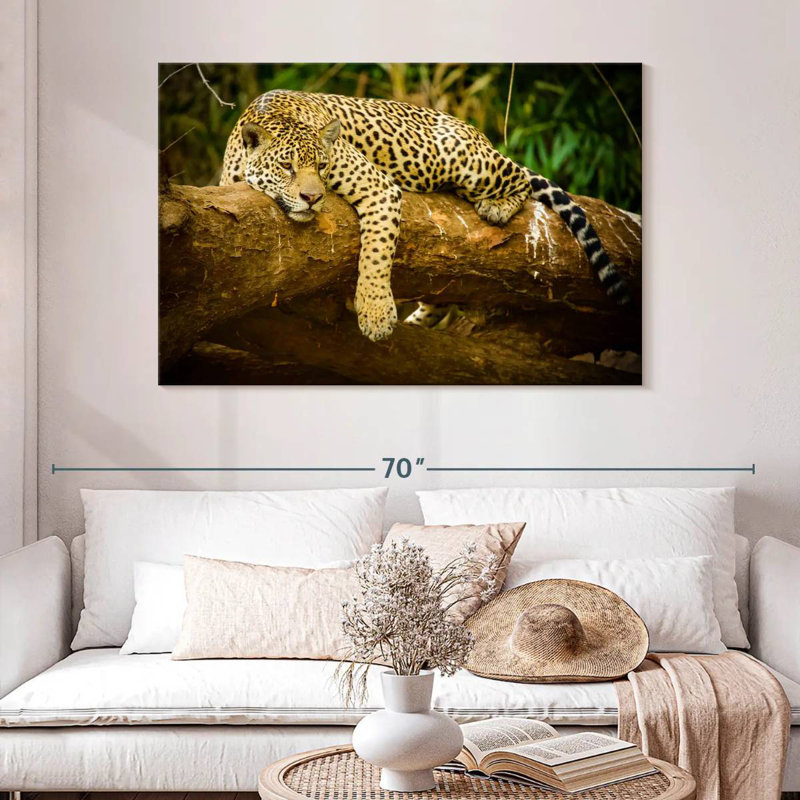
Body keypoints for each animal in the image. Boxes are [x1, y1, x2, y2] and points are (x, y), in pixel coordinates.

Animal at [220, 90, 630, 342]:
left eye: (321, 166)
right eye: (286, 167)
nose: (312, 197)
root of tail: (475, 131)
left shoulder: (379, 187)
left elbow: (375, 255)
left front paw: (376, 314)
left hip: (464, 159)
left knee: (518, 176)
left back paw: (496, 204)